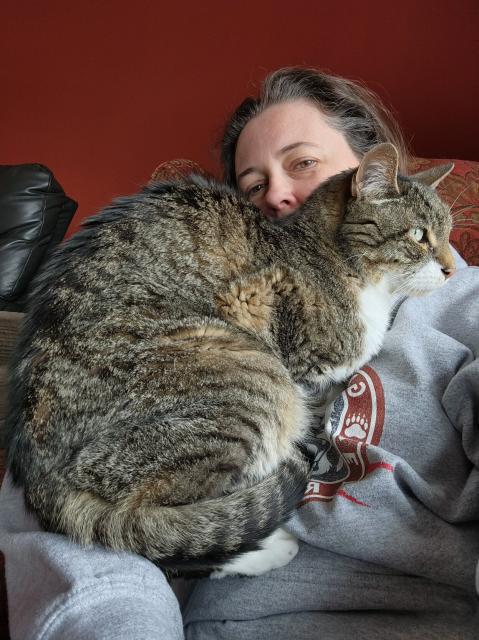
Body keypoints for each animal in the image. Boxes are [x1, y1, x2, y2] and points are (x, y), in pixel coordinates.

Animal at [5, 144, 456, 576]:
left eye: (449, 234)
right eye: (420, 235)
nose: (452, 269)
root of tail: (40, 480)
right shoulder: (256, 306)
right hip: (251, 375)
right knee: (155, 526)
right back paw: (269, 548)